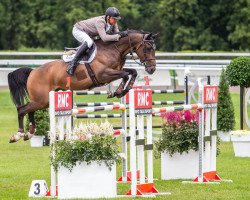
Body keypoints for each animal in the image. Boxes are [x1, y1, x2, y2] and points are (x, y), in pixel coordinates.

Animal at [7, 29, 156, 143]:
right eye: (148, 48)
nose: (152, 69)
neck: (113, 50)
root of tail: (33, 71)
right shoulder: (103, 75)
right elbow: (125, 74)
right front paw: (118, 92)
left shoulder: (115, 70)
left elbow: (132, 71)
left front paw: (123, 90)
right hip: (42, 99)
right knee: (22, 109)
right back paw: (18, 135)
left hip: (43, 101)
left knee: (30, 110)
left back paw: (29, 133)